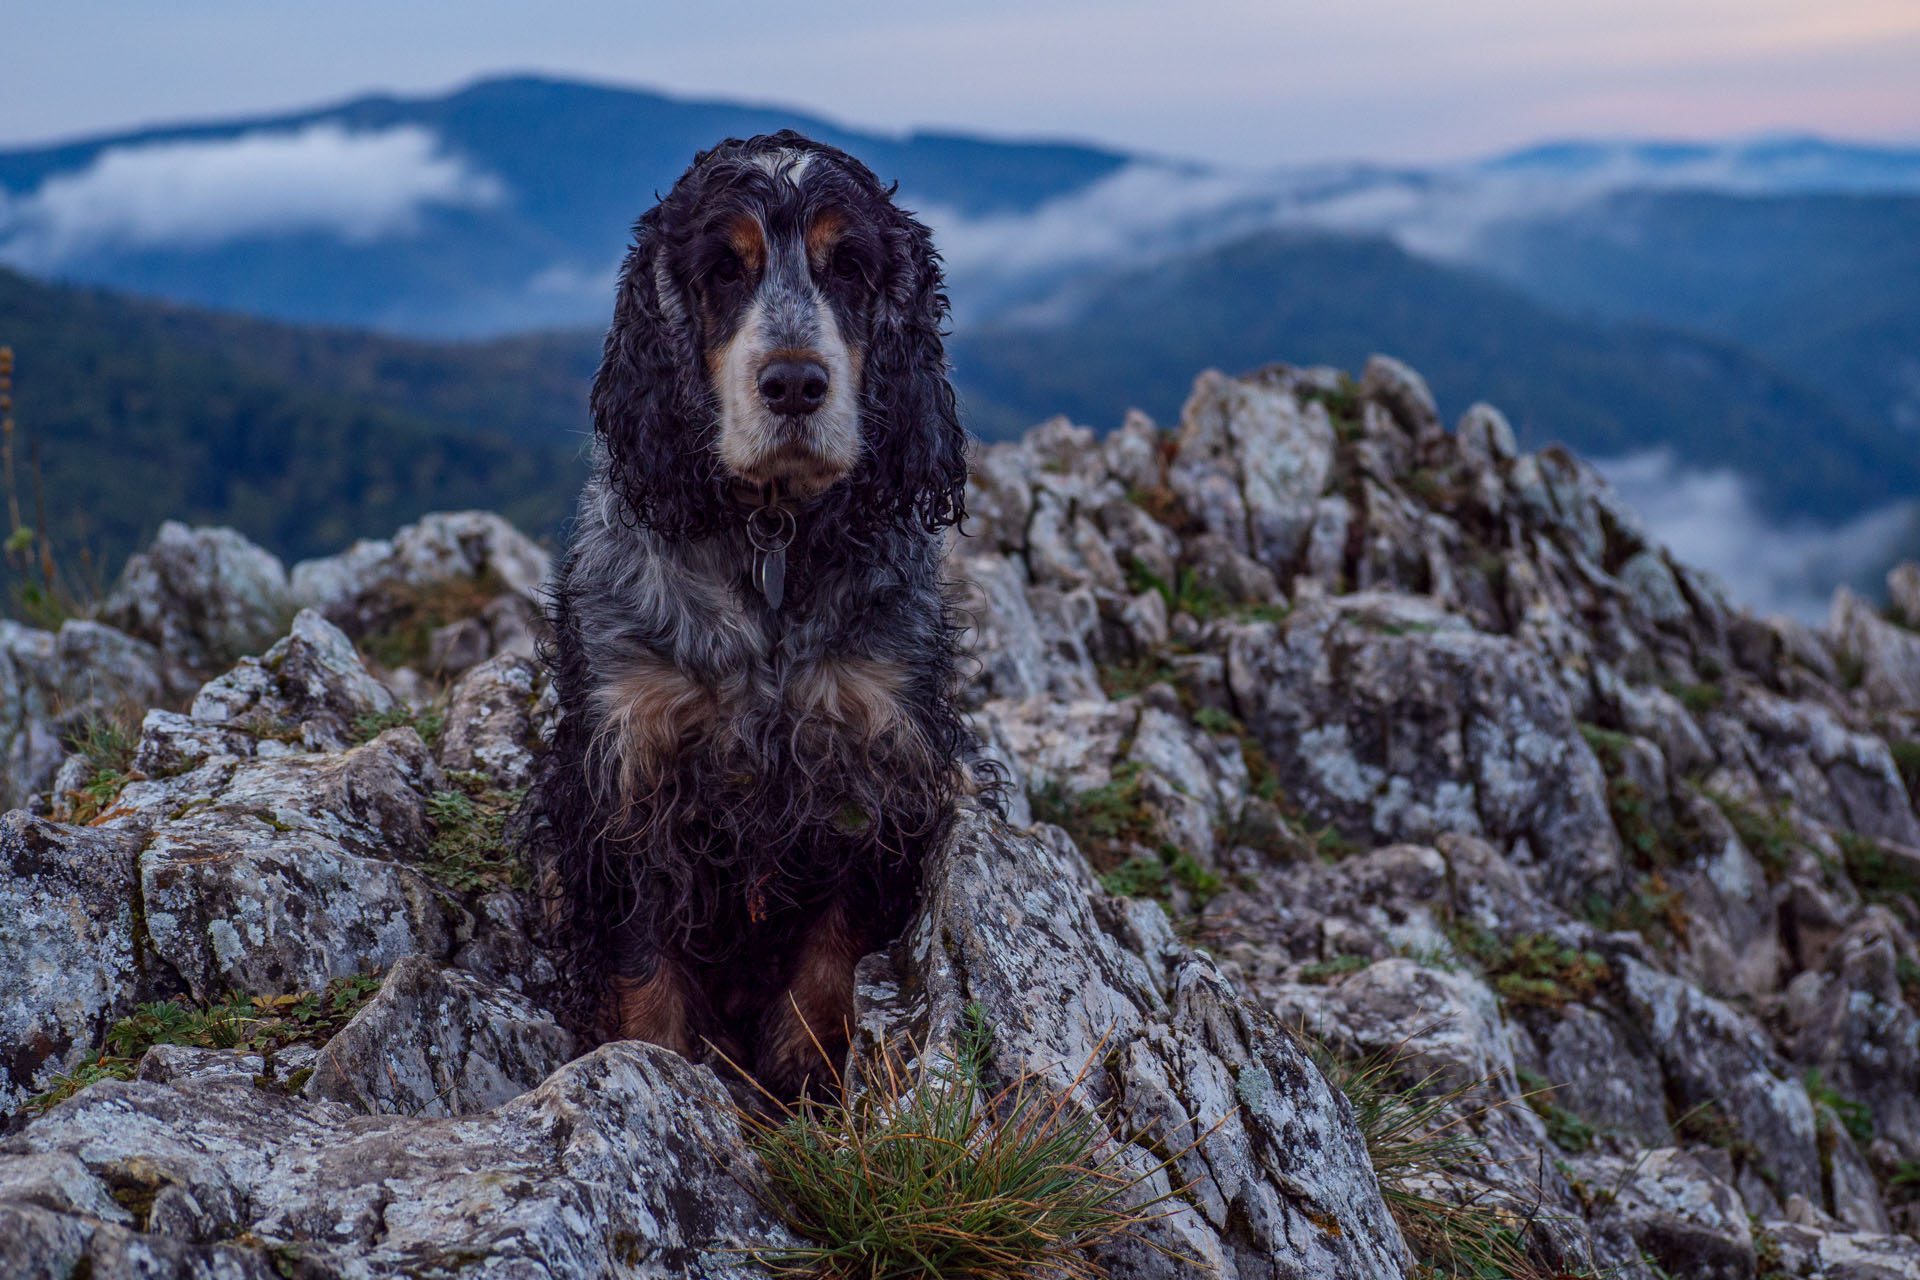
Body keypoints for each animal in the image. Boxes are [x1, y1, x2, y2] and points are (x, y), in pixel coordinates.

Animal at [533, 130, 990, 1105]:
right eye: (723, 269)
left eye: (848, 265)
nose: (793, 384)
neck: (770, 538)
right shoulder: (629, 769)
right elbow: (643, 961)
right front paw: (657, 1071)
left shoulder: (878, 760)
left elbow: (833, 949)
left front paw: (806, 1075)